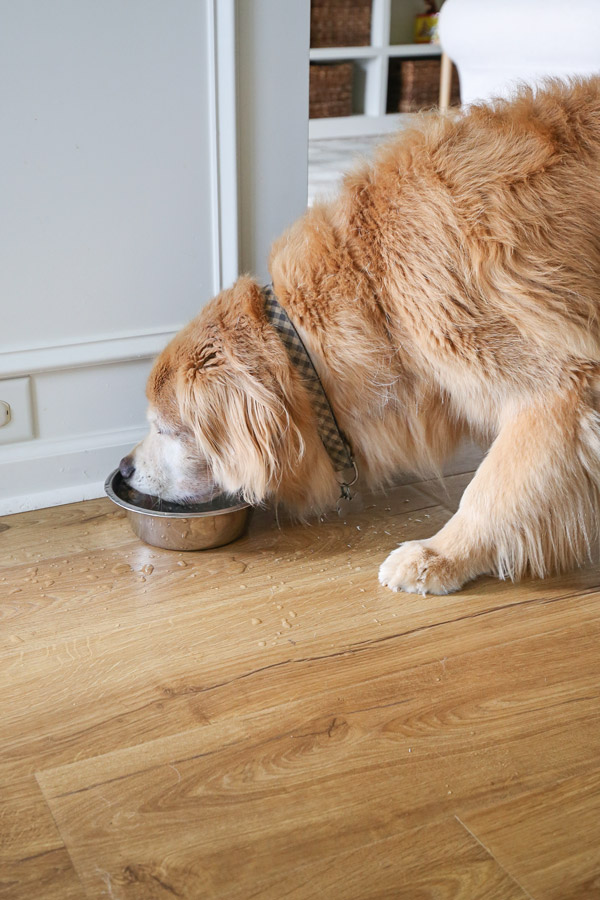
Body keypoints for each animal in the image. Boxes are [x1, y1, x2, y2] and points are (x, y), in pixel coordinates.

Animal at [119, 77, 600, 596]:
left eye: (167, 430)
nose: (124, 467)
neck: (378, 289)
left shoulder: (561, 388)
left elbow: (494, 487)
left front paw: (438, 556)